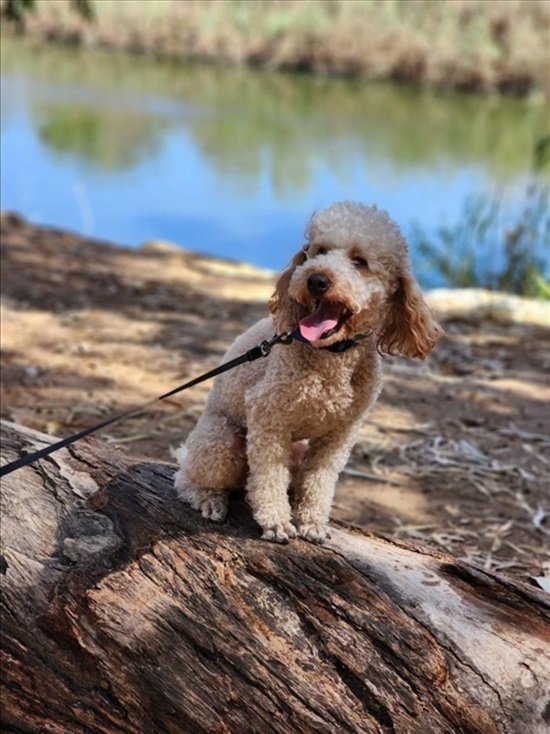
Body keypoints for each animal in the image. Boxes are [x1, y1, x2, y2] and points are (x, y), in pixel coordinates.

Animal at [175, 204, 442, 544]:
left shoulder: (340, 433)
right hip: (222, 441)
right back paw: (209, 498)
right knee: (187, 478)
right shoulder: (267, 417)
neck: (329, 355)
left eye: (360, 261)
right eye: (319, 251)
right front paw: (276, 522)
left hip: (294, 449)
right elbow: (269, 476)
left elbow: (319, 480)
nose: (316, 280)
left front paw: (312, 522)